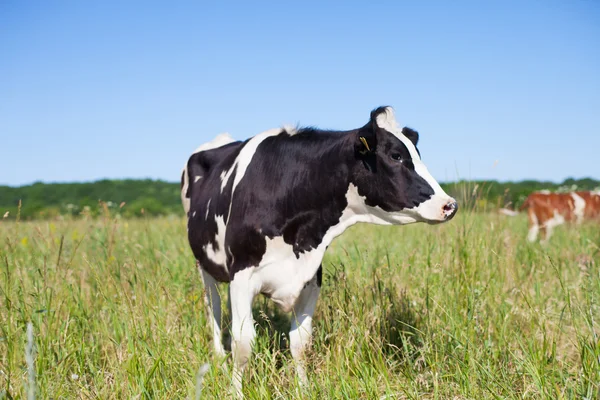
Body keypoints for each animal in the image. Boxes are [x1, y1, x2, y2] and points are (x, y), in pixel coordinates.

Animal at [180, 106, 458, 396]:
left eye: (416, 152)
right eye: (396, 156)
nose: (450, 205)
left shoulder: (311, 276)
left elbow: (300, 342)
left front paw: (303, 389)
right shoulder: (242, 276)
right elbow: (243, 343)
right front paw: (236, 392)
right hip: (204, 265)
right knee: (213, 309)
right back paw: (219, 359)